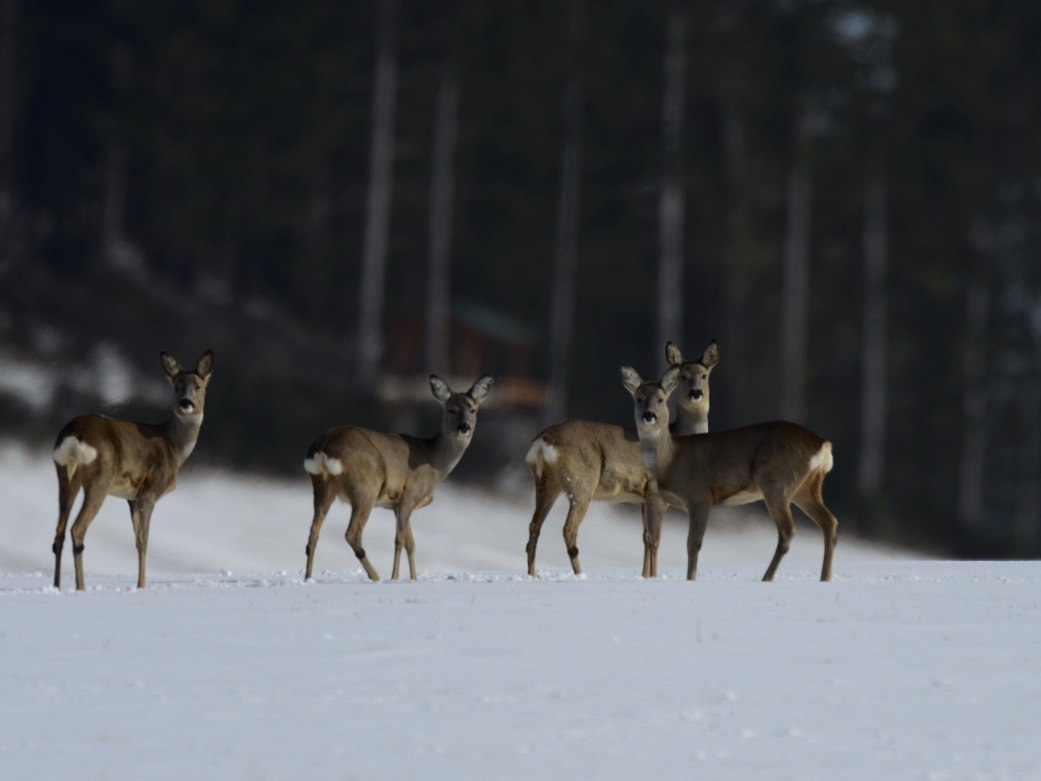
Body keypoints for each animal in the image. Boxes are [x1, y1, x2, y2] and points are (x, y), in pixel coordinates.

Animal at [53, 351, 216, 591]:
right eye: (176, 386)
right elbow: (144, 540)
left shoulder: (131, 497)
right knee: (77, 529)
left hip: (64, 475)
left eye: (197, 386)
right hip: (100, 479)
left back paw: (56, 586)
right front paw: (141, 586)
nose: (185, 403)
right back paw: (80, 587)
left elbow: (136, 540)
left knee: (59, 532)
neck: (173, 448)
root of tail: (74, 436)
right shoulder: (149, 492)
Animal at [303, 372, 493, 583]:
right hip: (365, 489)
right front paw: (395, 578)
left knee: (313, 534)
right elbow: (400, 540)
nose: (464, 427)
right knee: (352, 534)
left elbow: (411, 543)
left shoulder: (398, 505)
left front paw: (414, 579)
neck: (433, 462)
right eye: (451, 410)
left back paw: (308, 578)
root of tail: (324, 446)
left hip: (322, 488)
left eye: (473, 410)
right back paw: (376, 577)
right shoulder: (409, 495)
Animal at [528, 339, 716, 578]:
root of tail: (543, 440)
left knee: (534, 526)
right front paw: (653, 577)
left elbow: (645, 538)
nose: (695, 393)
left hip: (547, 483)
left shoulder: (643, 499)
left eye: (704, 375)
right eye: (683, 376)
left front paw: (645, 576)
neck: (677, 438)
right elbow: (654, 539)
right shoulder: (655, 492)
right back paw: (580, 574)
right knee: (568, 529)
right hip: (582, 482)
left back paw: (532, 574)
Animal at [616, 366, 836, 583]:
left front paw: (691, 579)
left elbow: (693, 544)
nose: (649, 415)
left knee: (788, 530)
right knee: (829, 522)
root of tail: (823, 445)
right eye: (639, 399)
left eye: (661, 399)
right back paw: (825, 578)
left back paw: (767, 578)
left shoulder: (700, 496)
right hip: (806, 487)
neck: (670, 459)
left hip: (777, 482)